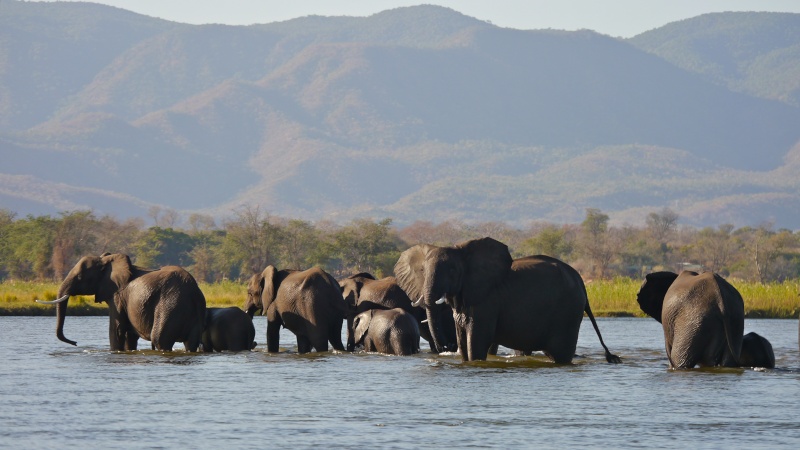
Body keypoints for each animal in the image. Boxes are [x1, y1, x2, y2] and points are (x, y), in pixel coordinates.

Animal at [37, 253, 206, 352]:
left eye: (79, 277)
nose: (75, 343)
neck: (106, 261)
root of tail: (194, 291)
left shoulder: (117, 296)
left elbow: (116, 330)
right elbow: (129, 335)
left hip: (170, 305)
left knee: (160, 340)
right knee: (191, 343)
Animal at [394, 237, 620, 364]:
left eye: (452, 270)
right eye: (422, 271)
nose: (444, 347)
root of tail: (581, 282)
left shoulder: (487, 301)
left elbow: (475, 341)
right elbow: (463, 341)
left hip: (568, 313)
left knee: (561, 354)